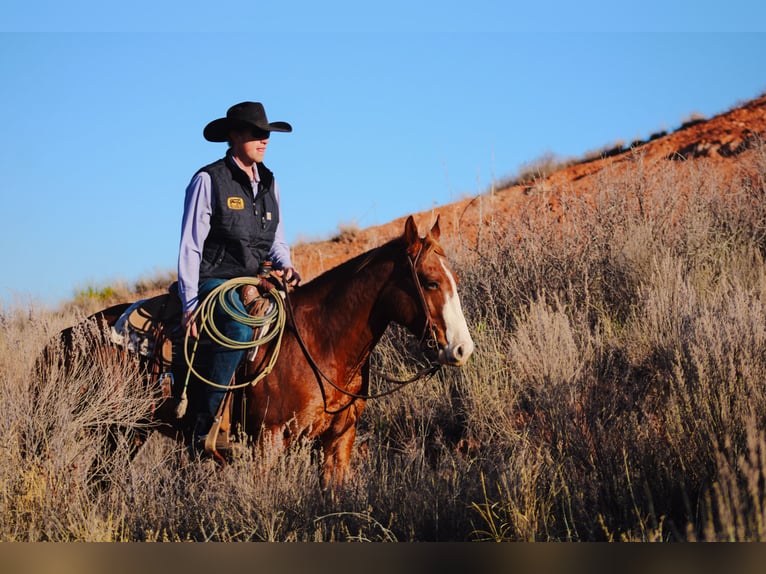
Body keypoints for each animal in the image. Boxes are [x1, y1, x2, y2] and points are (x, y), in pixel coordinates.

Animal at [43, 216, 474, 490]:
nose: (461, 348)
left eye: (452, 278)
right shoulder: (268, 442)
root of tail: (67, 335)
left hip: (128, 431)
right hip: (106, 426)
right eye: (430, 282)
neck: (322, 342)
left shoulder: (338, 442)